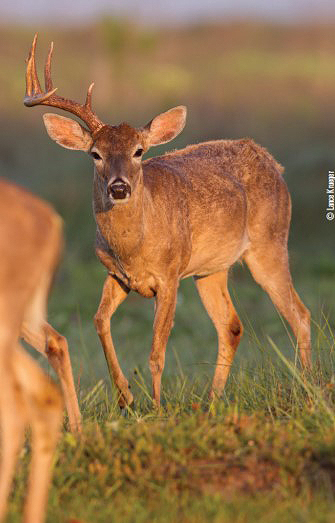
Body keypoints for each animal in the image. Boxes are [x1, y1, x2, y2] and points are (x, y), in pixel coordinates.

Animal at [25, 33, 314, 410]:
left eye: (138, 151)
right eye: (95, 154)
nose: (119, 187)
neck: (134, 247)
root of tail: (271, 161)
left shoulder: (170, 275)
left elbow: (156, 351)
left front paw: (157, 407)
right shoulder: (116, 275)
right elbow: (100, 321)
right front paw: (126, 396)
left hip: (271, 243)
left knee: (299, 315)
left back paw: (310, 390)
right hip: (211, 269)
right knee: (231, 326)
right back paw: (211, 402)